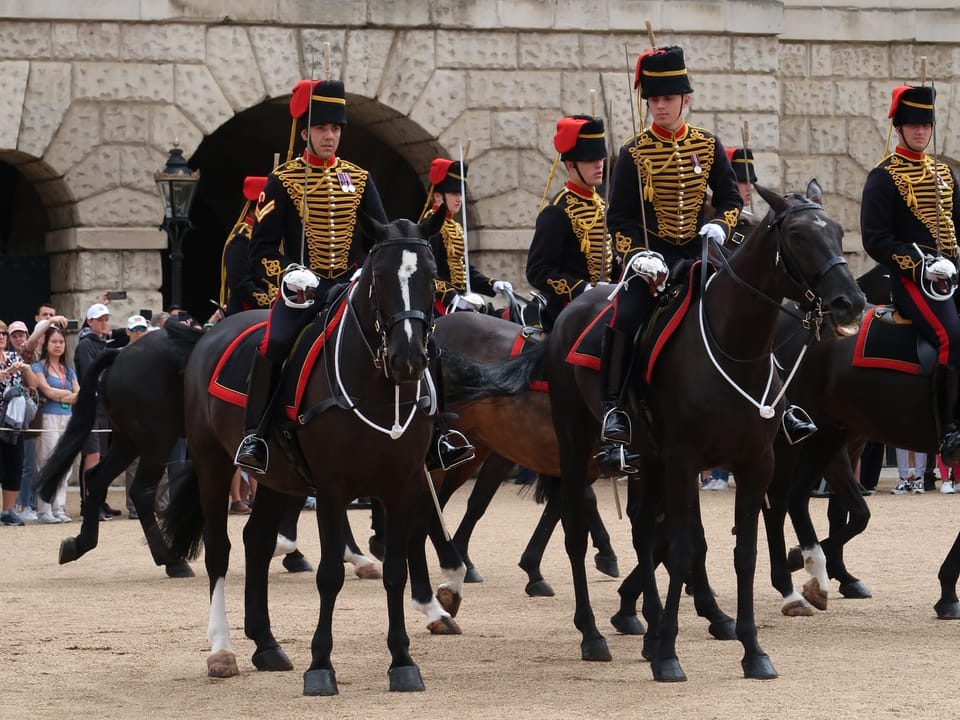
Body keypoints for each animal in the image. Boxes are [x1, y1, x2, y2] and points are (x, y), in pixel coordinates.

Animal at [161, 211, 464, 696]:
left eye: (431, 275)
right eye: (380, 276)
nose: (408, 359)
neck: (378, 385)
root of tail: (211, 332)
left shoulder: (402, 481)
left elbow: (395, 571)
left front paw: (402, 661)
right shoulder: (331, 488)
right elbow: (329, 575)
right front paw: (320, 665)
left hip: (276, 476)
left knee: (257, 541)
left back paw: (266, 645)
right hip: (213, 464)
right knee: (219, 550)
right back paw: (222, 650)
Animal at [446, 184, 868, 680]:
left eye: (838, 230)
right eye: (799, 235)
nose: (851, 302)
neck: (735, 349)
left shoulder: (753, 462)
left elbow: (740, 553)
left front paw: (750, 649)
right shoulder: (686, 461)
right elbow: (685, 547)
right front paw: (668, 651)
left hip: (643, 458)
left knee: (642, 531)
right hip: (572, 445)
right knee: (573, 532)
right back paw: (590, 632)